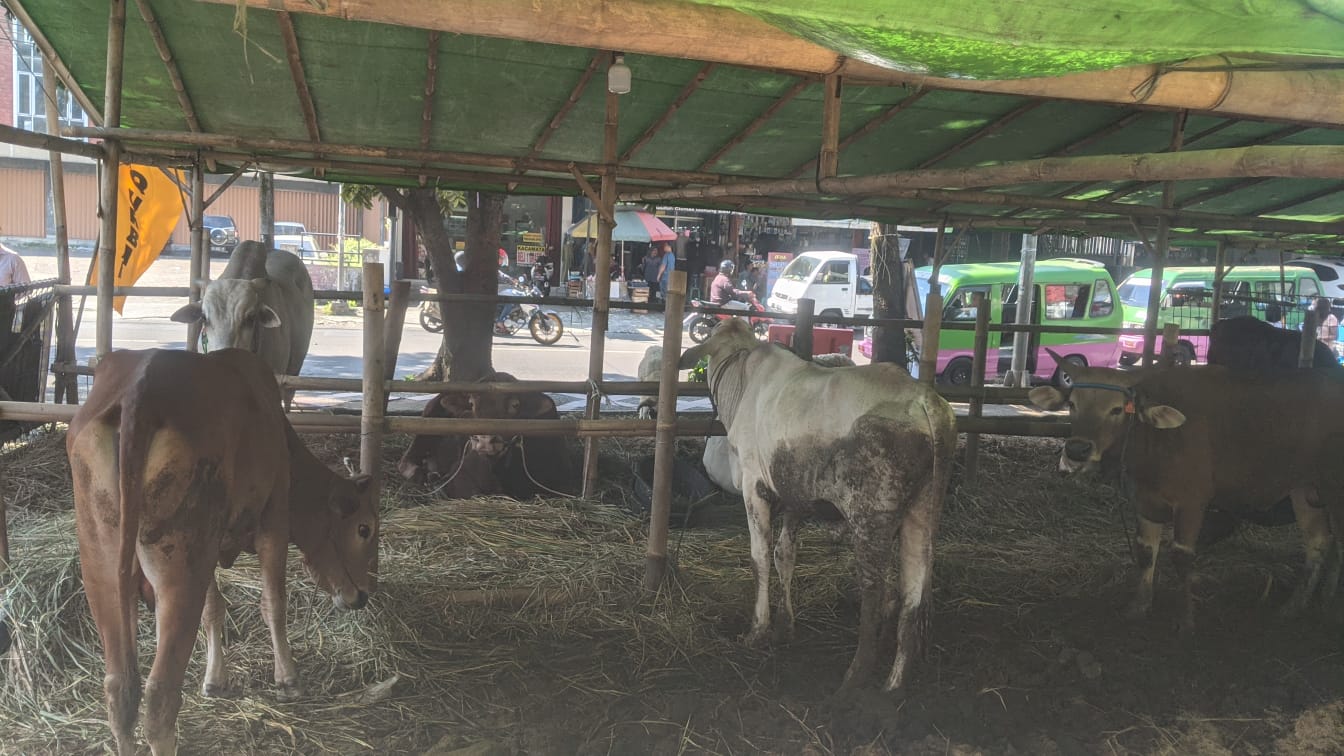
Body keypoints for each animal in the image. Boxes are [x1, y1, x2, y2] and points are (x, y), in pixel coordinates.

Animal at [71, 347, 381, 753]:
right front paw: (288, 679)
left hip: (103, 564)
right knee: (159, 695)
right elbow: (273, 603)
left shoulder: (212, 547)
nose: (362, 595)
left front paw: (215, 679)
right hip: (181, 563)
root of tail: (140, 391)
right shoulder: (273, 522)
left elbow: (214, 609)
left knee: (120, 689)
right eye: (364, 529)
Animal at [682, 317, 956, 688]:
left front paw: (759, 630)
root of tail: (926, 400)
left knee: (874, 587)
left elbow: (760, 558)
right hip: (923, 508)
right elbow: (785, 555)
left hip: (870, 514)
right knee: (913, 586)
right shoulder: (794, 496)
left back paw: (855, 675)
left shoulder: (755, 488)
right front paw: (786, 627)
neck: (741, 381)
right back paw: (893, 683)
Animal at [1026, 352, 1344, 629]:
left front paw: (1186, 619)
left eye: (1116, 408)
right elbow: (1146, 552)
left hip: (1334, 487)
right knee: (1318, 542)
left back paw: (1329, 606)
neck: (1155, 440)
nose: (1077, 450)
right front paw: (1138, 606)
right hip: (1304, 488)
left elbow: (1181, 556)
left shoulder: (1192, 503)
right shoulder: (1144, 503)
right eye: (1072, 404)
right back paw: (1294, 607)